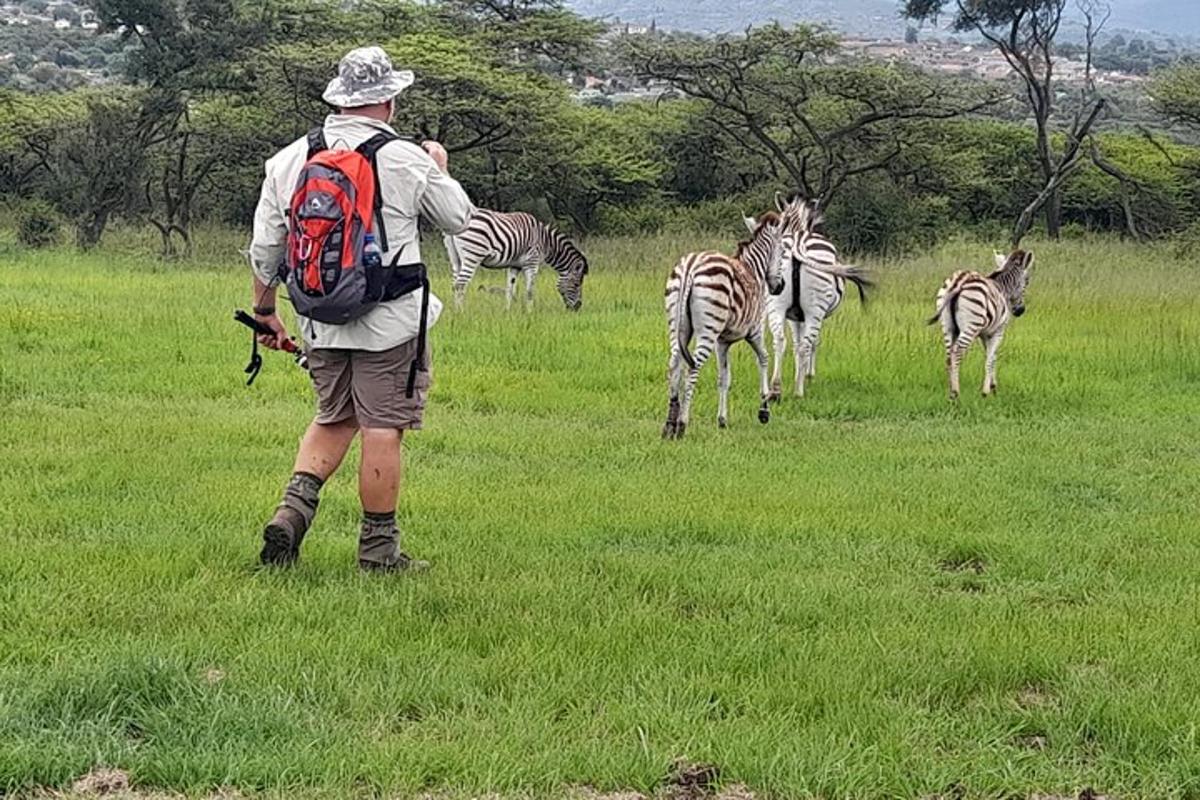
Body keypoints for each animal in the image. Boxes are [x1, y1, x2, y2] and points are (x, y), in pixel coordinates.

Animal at [444, 208, 588, 311]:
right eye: (576, 284)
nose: (577, 307)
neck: (546, 242)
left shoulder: (515, 265)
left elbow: (510, 288)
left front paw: (507, 312)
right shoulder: (532, 262)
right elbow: (530, 290)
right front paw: (530, 313)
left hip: (455, 259)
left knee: (454, 283)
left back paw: (454, 312)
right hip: (472, 255)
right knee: (460, 284)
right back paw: (461, 313)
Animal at [662, 200, 792, 438]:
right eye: (784, 251)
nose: (779, 287)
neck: (754, 270)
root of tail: (691, 267)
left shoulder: (722, 341)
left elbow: (724, 378)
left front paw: (722, 420)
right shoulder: (755, 330)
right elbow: (764, 359)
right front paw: (764, 410)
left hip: (677, 327)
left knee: (674, 365)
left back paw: (669, 424)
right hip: (707, 330)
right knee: (692, 368)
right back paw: (682, 424)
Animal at [739, 200, 873, 400]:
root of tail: (796, 245)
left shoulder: (793, 315)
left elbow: (795, 343)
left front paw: (798, 374)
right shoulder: (807, 315)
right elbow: (809, 343)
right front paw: (807, 375)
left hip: (776, 305)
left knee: (779, 340)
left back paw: (775, 389)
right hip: (815, 309)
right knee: (807, 344)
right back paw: (799, 391)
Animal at [926, 250, 1032, 400]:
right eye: (1027, 281)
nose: (1020, 311)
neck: (1003, 289)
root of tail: (959, 281)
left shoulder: (985, 334)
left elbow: (991, 357)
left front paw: (993, 387)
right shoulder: (998, 331)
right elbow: (990, 359)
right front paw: (986, 391)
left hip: (947, 326)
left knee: (949, 356)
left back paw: (951, 390)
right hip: (970, 325)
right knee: (957, 352)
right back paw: (955, 393)